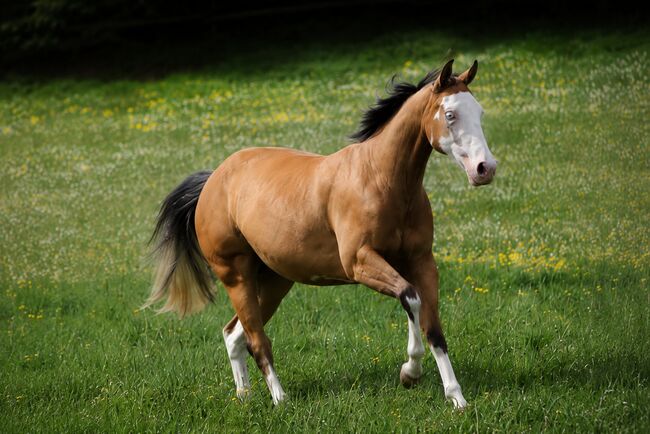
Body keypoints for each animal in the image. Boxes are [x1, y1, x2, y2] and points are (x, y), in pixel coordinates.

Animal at [144, 59, 497, 409]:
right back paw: (280, 399)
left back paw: (244, 395)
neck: (380, 179)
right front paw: (410, 372)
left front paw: (456, 397)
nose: (486, 169)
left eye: (479, 112)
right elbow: (410, 297)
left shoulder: (422, 261)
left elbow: (432, 326)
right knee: (257, 341)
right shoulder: (360, 263)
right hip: (237, 277)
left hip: (274, 281)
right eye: (450, 114)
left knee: (234, 334)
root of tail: (213, 180)